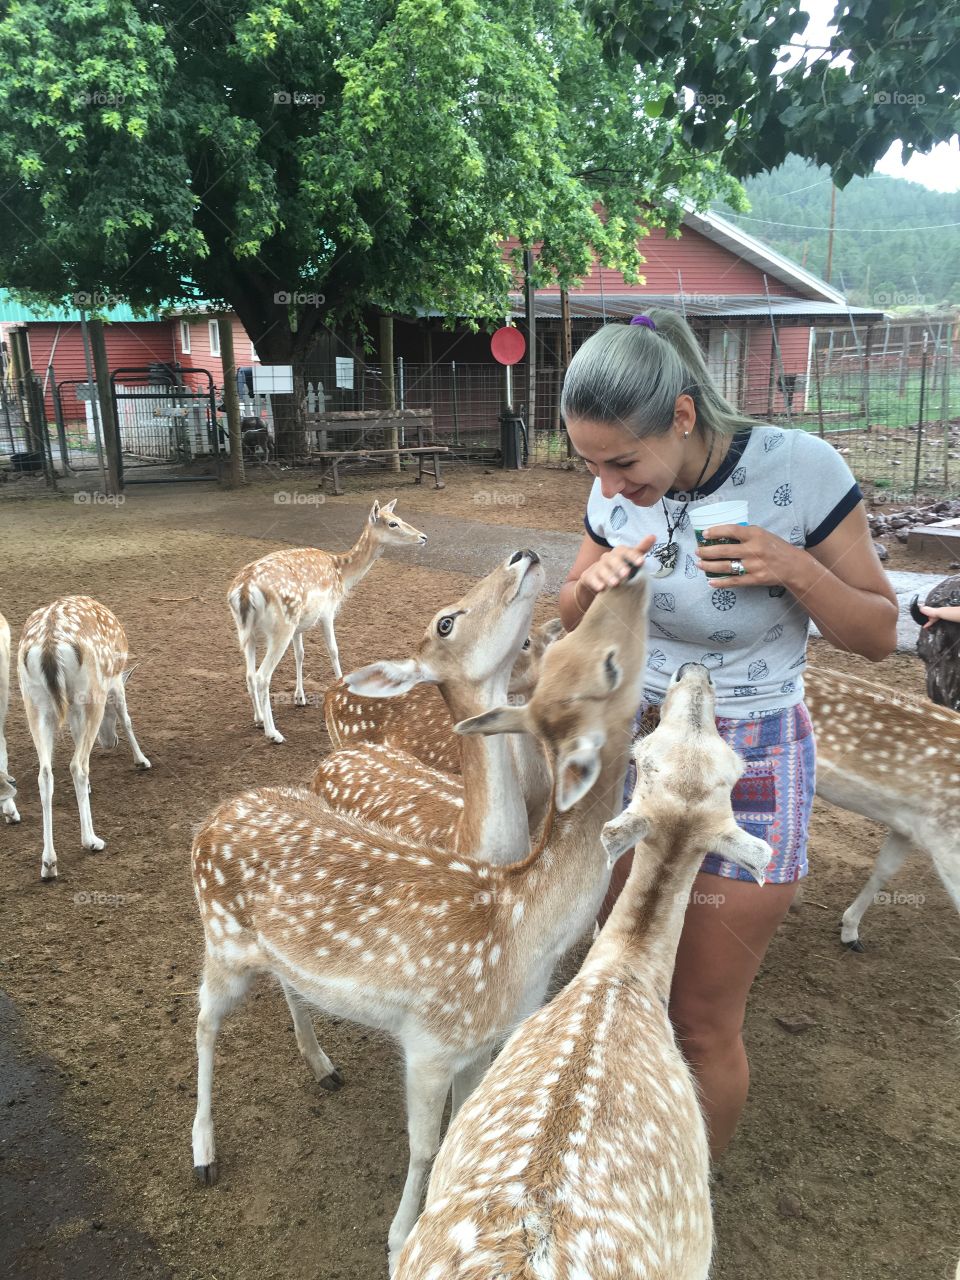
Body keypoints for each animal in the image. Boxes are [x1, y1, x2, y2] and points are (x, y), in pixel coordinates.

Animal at [18, 596, 151, 881]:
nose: (110, 743)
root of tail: (49, 646)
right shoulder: (114, 682)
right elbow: (127, 718)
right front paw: (142, 760)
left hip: (34, 702)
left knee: (45, 773)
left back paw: (48, 864)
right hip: (90, 694)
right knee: (77, 765)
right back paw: (91, 840)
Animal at [228, 498, 427, 743]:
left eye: (398, 518)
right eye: (392, 523)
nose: (423, 537)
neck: (342, 574)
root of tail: (245, 590)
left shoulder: (300, 624)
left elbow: (300, 654)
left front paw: (300, 698)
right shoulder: (327, 611)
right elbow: (333, 649)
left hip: (247, 630)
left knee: (248, 674)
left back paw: (258, 719)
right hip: (281, 626)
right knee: (262, 676)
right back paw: (273, 733)